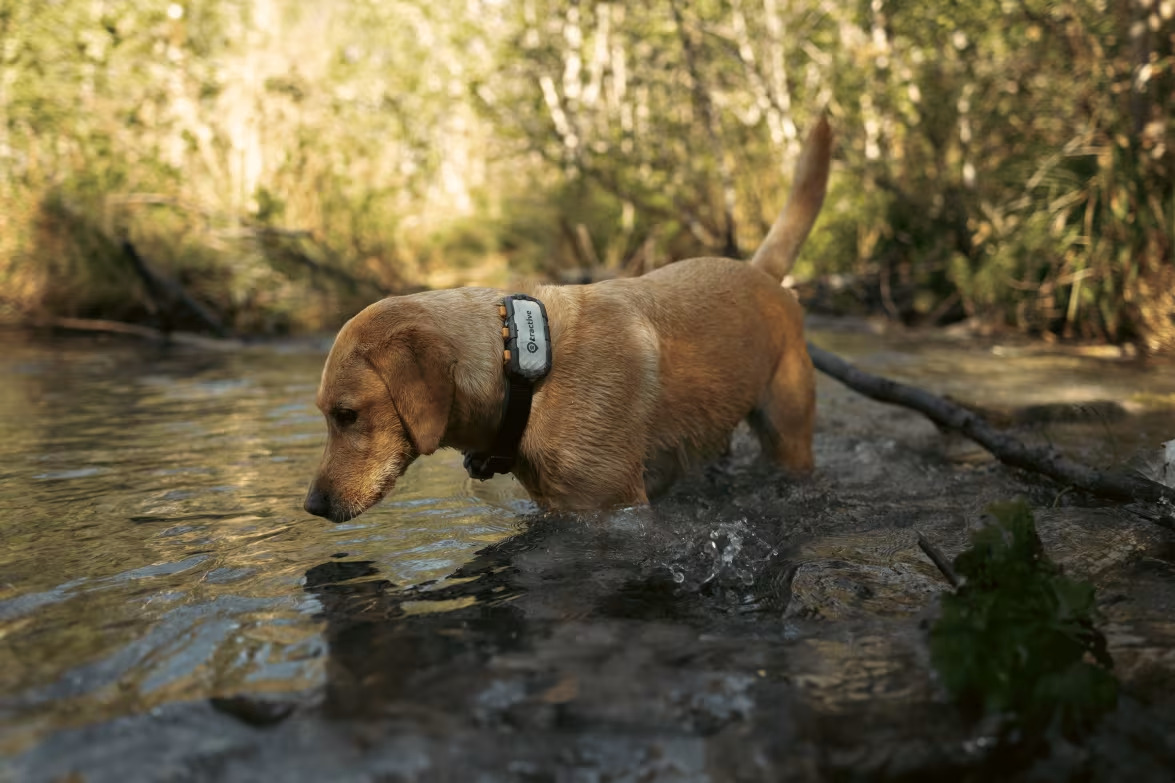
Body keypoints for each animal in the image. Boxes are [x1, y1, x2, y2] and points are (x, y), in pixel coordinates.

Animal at [307, 115, 831, 517]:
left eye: (347, 415)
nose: (313, 504)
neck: (522, 373)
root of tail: (760, 271)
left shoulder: (612, 505)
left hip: (788, 434)